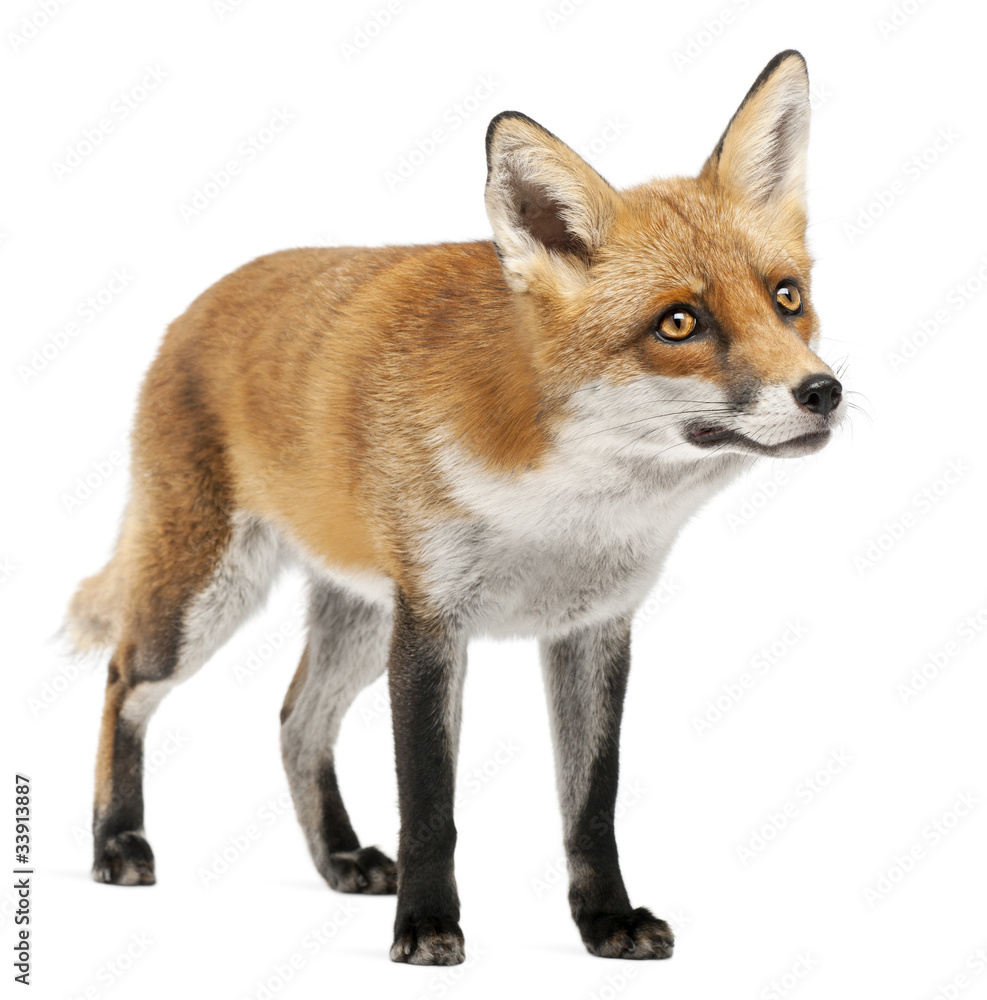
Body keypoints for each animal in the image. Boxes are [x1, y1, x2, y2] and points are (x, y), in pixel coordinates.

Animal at [66, 49, 846, 965]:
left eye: (786, 298)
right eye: (679, 323)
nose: (822, 392)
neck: (564, 510)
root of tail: (197, 304)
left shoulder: (591, 629)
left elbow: (592, 807)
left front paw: (605, 922)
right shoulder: (433, 625)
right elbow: (430, 808)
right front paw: (428, 925)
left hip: (359, 620)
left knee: (297, 720)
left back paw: (338, 858)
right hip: (202, 603)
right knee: (124, 682)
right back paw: (117, 840)